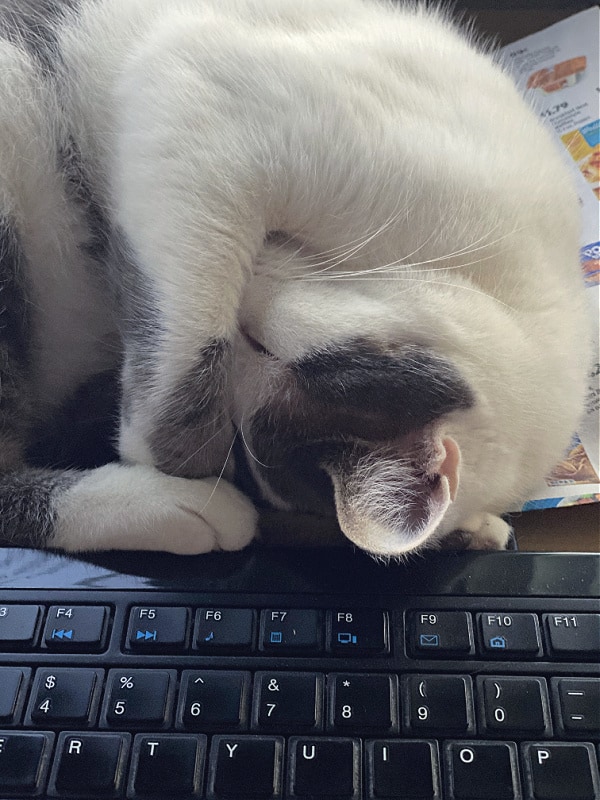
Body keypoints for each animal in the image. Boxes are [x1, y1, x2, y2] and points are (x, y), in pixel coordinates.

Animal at [0, 0, 592, 556]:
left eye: (259, 345)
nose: (250, 288)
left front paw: (476, 530)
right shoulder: (204, 110)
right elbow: (189, 339)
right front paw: (156, 451)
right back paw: (184, 506)